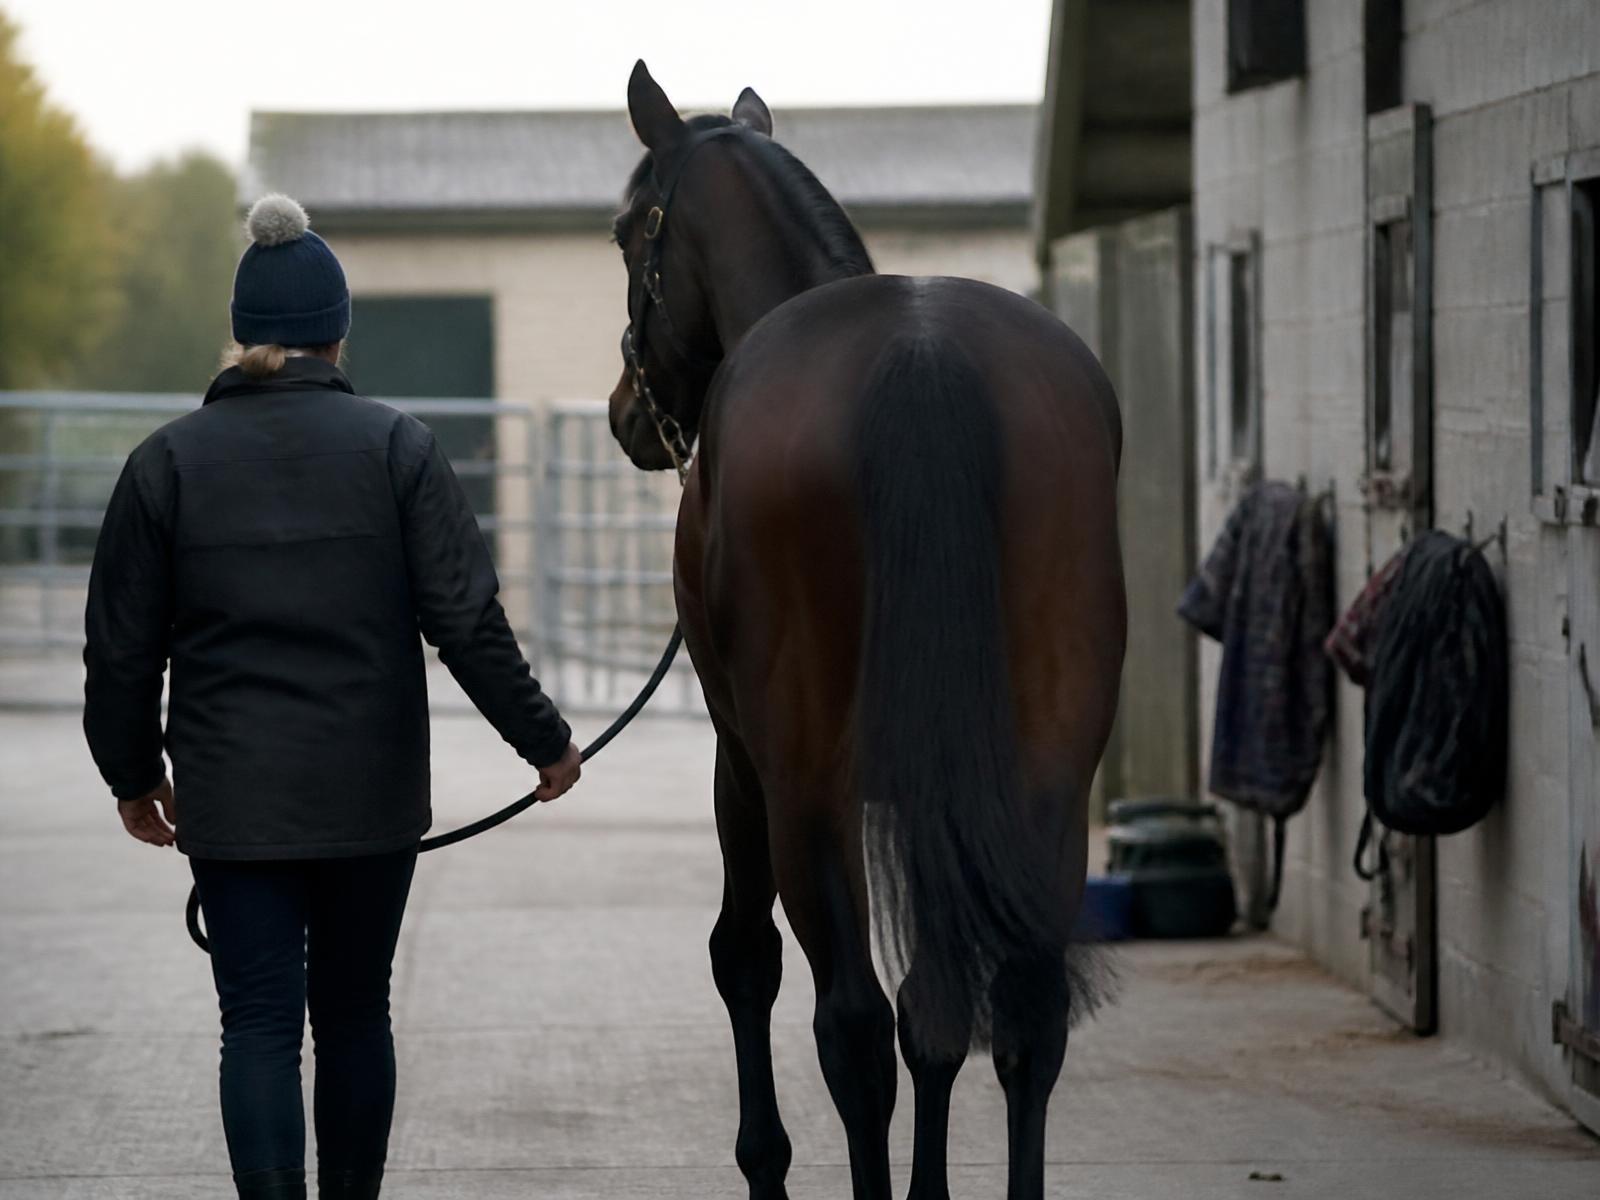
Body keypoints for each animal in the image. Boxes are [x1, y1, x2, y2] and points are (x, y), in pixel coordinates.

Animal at [606, 61, 1126, 1200]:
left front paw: (765, 1160)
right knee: (1021, 1013)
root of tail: (923, 358)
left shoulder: (742, 766)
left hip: (806, 793)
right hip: (1047, 782)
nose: (626, 414)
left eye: (625, 233)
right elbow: (938, 1008)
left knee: (848, 1024)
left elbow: (746, 961)